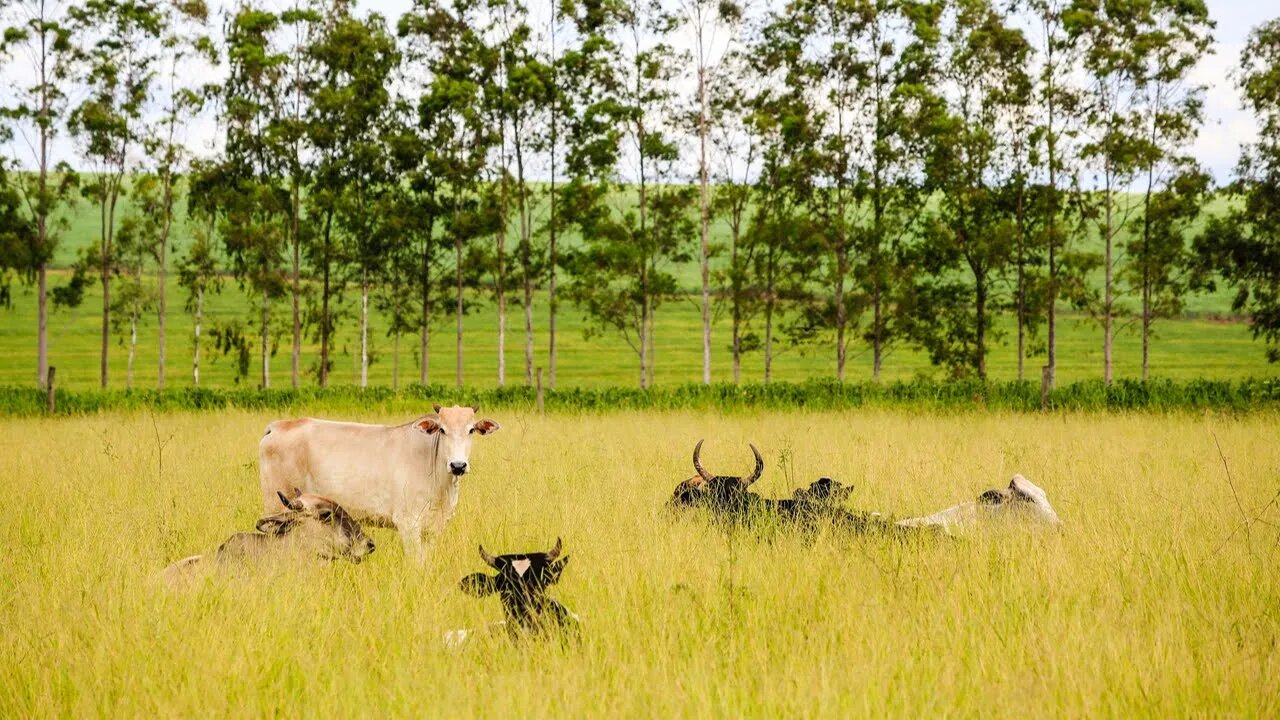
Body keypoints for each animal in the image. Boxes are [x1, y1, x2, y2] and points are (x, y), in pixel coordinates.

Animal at [258, 404, 499, 561]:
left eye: (471, 430)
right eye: (442, 429)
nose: (458, 465)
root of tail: (278, 426)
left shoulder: (435, 528)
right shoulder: (408, 524)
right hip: (276, 504)